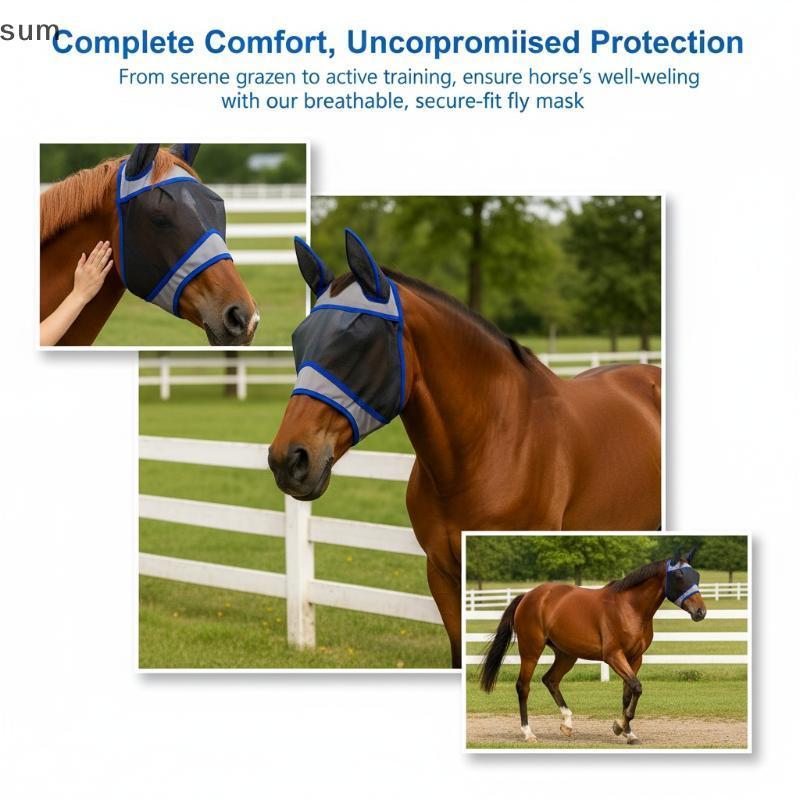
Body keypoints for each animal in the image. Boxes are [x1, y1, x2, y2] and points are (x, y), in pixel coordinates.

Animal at [478, 548, 707, 744]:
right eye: (679, 576)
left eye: (696, 576)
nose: (701, 612)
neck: (630, 608)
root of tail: (528, 596)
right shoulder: (614, 656)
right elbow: (636, 687)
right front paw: (619, 727)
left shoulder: (635, 658)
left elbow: (628, 693)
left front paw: (628, 733)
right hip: (531, 651)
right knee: (523, 687)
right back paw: (528, 733)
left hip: (566, 654)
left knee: (550, 680)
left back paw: (567, 724)